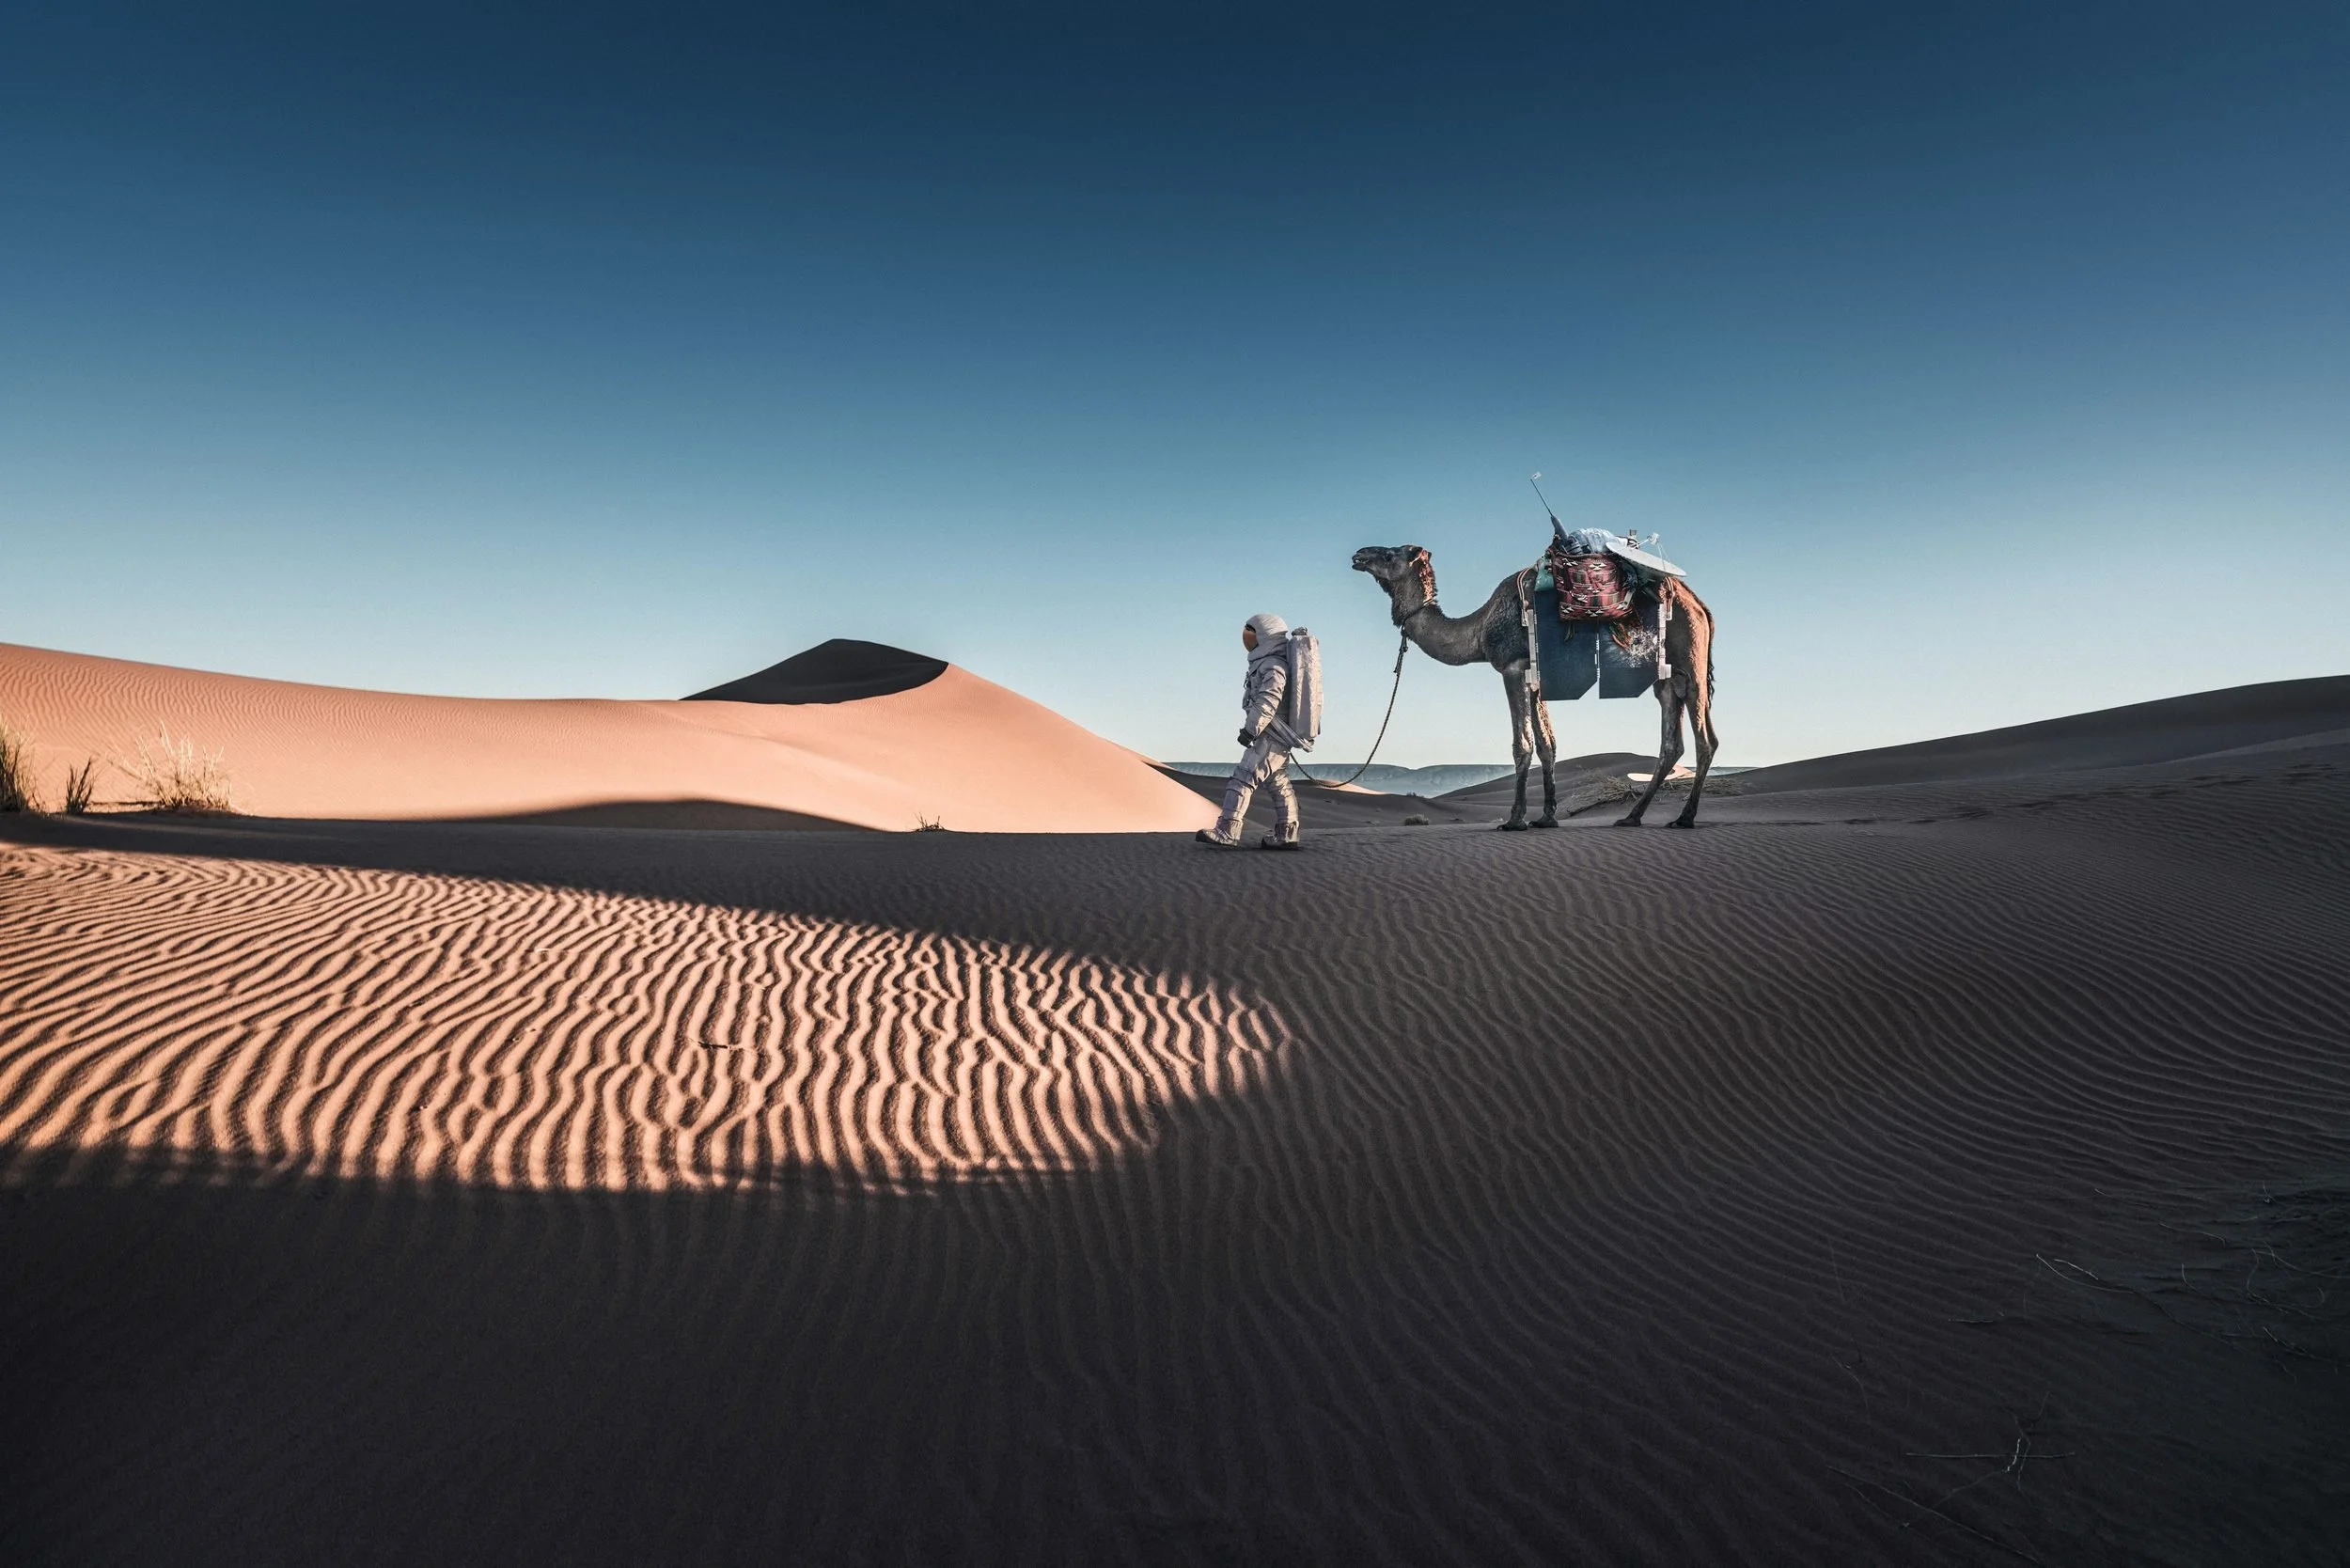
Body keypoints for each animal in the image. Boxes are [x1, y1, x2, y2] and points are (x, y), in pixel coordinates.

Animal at [1351, 544, 1720, 829]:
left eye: (1389, 554)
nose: (1358, 555)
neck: (1480, 629)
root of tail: (1701, 606)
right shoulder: (1536, 677)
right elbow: (1548, 745)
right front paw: (1547, 817)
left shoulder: (1512, 667)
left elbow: (1523, 744)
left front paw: (1515, 819)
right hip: (1668, 677)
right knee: (1672, 741)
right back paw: (1631, 816)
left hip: (1691, 658)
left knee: (1706, 739)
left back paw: (1684, 818)